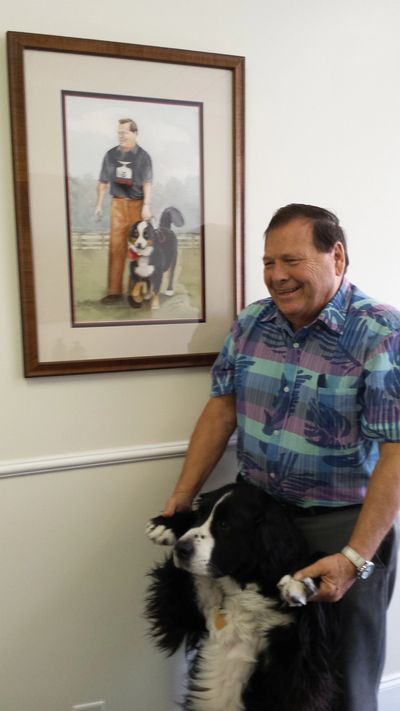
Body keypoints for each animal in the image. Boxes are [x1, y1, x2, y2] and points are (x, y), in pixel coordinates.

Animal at [145, 482, 340, 711]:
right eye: (202, 514)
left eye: (224, 525)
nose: (181, 549)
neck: (242, 584)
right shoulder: (187, 612)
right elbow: (172, 598)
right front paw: (167, 524)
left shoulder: (302, 655)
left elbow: (317, 561)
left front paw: (300, 582)